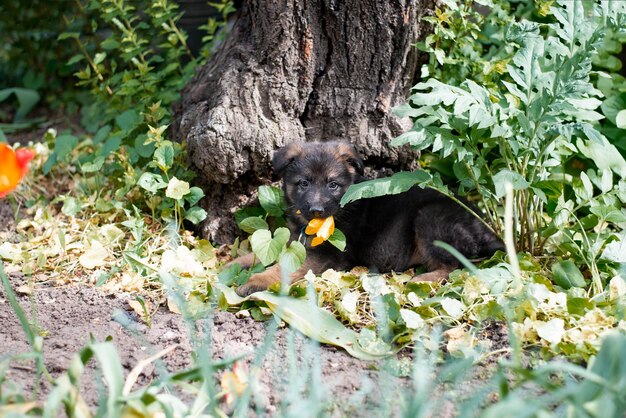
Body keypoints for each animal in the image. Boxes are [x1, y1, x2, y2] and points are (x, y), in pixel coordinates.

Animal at [234, 142, 502, 296]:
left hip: (429, 218)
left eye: (332, 185)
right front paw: (234, 263)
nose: (317, 210)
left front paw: (257, 280)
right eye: (304, 183)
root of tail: (484, 226)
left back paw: (423, 279)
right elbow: (259, 253)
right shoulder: (294, 240)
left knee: (454, 265)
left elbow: (284, 266)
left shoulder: (328, 255)